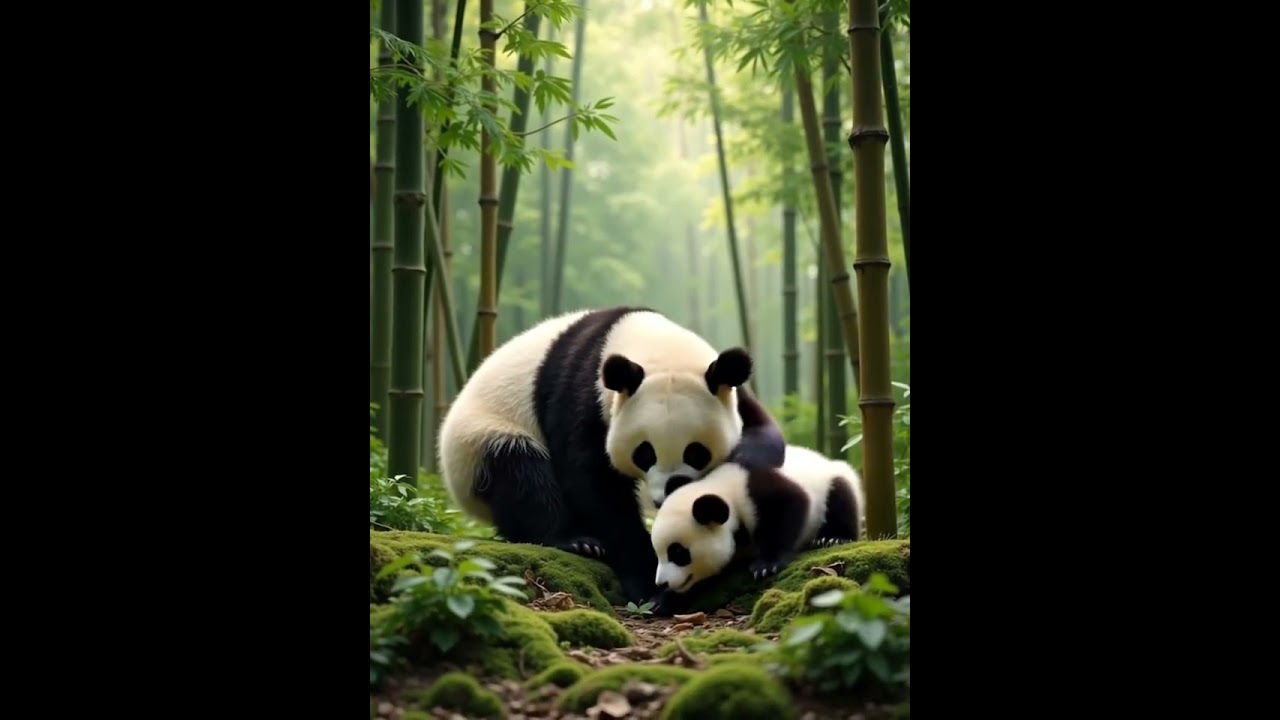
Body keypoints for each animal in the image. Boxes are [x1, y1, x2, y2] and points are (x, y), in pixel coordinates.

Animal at [437, 306, 786, 604]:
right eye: (645, 453)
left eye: (696, 452)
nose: (668, 493)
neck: (651, 342)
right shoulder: (583, 391)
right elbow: (592, 483)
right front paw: (647, 580)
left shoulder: (727, 388)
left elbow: (765, 435)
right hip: (482, 439)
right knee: (522, 475)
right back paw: (574, 539)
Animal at [647, 444, 864, 615]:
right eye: (658, 554)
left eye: (678, 552)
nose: (661, 583)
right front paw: (661, 601)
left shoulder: (755, 490)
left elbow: (788, 506)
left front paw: (766, 565)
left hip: (831, 479)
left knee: (841, 496)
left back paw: (832, 537)